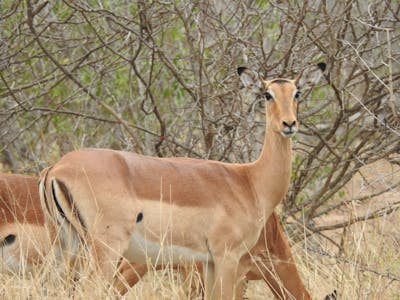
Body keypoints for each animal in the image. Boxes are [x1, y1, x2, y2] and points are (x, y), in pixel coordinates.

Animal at [39, 62, 326, 298]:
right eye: (267, 94)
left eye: (297, 93)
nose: (289, 124)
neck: (249, 182)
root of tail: (56, 168)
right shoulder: (227, 257)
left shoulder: (209, 262)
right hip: (106, 250)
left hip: (68, 246)